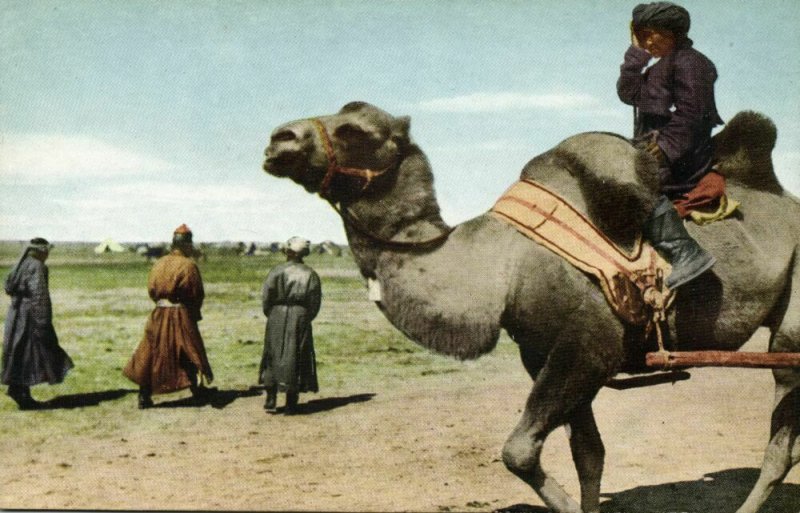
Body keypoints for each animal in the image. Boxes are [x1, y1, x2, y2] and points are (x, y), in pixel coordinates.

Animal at [262, 101, 800, 512]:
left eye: (355, 130)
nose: (277, 139)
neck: (504, 268)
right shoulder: (545, 354)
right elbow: (588, 454)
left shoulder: (588, 348)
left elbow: (518, 452)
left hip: (791, 327)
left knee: (780, 437)